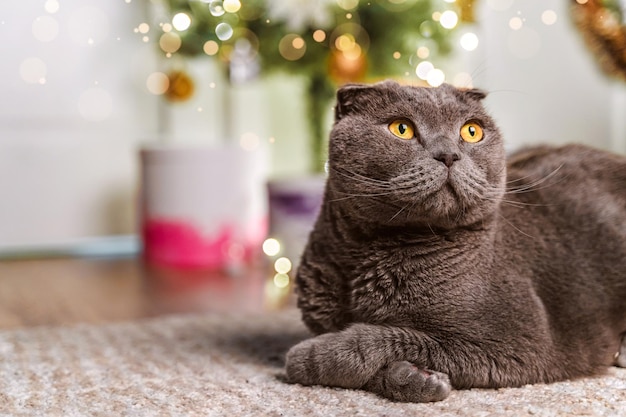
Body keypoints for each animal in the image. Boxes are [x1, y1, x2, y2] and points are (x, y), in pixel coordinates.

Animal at [286, 79, 624, 402]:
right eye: (401, 128)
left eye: (471, 131)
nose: (448, 154)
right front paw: (417, 379)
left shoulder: (520, 342)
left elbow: (385, 337)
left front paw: (310, 356)